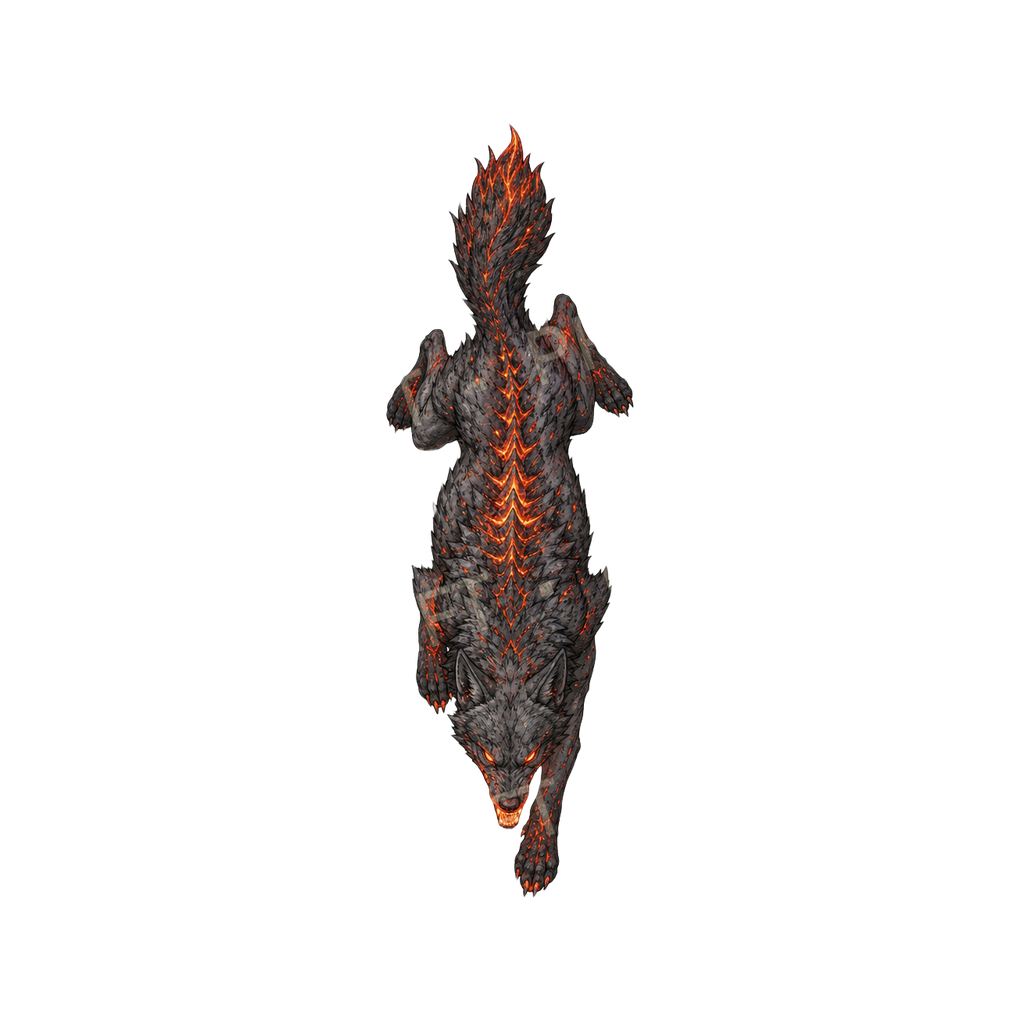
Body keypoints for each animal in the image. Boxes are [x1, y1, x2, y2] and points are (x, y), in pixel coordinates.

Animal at [386, 127, 633, 894]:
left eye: (521, 760)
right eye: (486, 758)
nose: (502, 812)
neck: (514, 637)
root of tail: (500, 329)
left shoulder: (583, 649)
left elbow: (561, 773)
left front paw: (536, 849)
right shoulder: (436, 586)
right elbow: (424, 612)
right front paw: (436, 678)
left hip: (572, 414)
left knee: (564, 314)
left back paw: (615, 385)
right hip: (438, 429)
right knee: (436, 349)